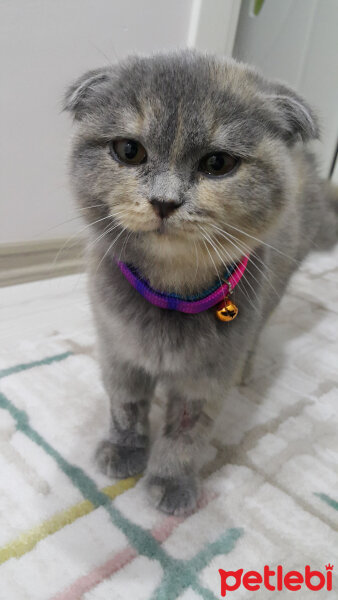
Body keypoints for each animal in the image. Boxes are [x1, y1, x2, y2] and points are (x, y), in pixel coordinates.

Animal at [64, 51, 338, 516]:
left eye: (217, 164)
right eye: (129, 151)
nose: (164, 201)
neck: (171, 291)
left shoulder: (207, 375)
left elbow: (186, 432)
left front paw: (171, 481)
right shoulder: (118, 348)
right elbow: (126, 404)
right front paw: (124, 449)